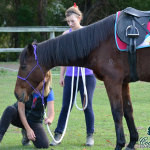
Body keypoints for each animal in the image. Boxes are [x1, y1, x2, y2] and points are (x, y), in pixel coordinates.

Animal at [14, 10, 150, 150]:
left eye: (23, 66)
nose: (16, 93)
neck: (102, 42)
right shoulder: (123, 82)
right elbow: (128, 111)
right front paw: (132, 142)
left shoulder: (113, 81)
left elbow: (117, 112)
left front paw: (120, 144)